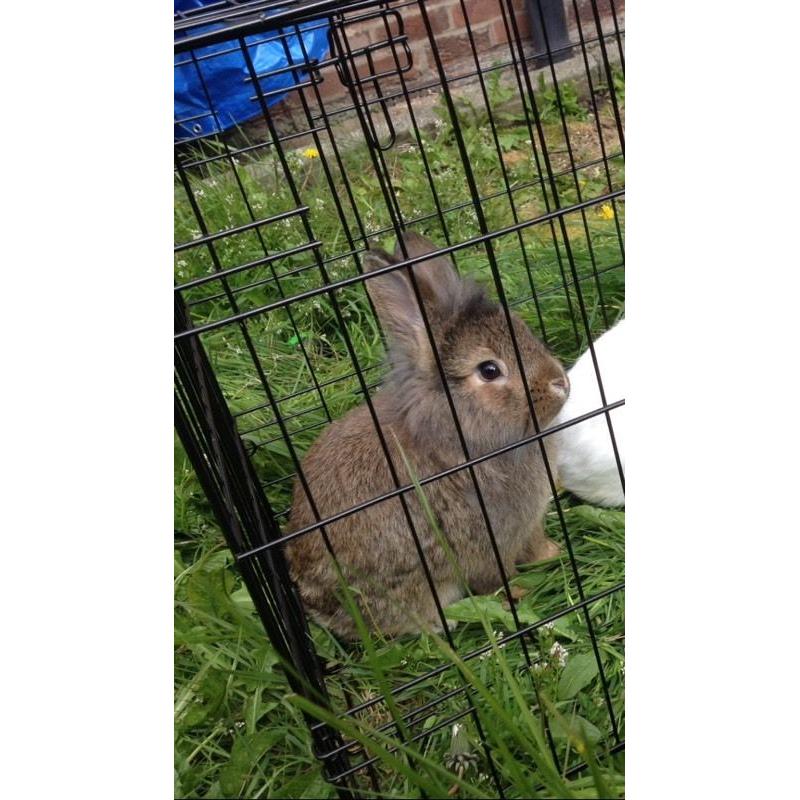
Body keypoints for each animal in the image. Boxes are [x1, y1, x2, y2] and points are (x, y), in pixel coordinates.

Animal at [285, 232, 570, 639]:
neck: (458, 431)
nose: (560, 383)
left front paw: (553, 553)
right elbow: (496, 576)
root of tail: (316, 605)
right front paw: (518, 592)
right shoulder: (489, 540)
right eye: (489, 370)